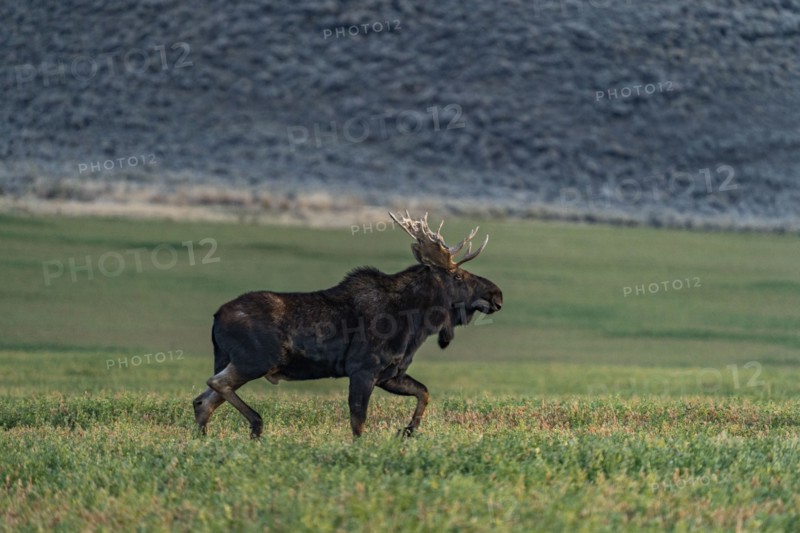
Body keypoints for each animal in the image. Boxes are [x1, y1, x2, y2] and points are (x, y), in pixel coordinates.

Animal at [193, 211, 503, 438]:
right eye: (458, 276)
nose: (497, 295)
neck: (415, 322)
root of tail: (216, 317)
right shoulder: (363, 369)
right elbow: (358, 423)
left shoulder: (389, 374)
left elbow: (423, 392)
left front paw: (408, 430)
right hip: (255, 360)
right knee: (214, 386)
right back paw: (256, 425)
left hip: (232, 361)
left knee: (202, 401)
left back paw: (205, 439)